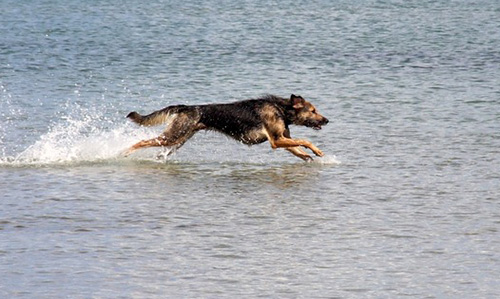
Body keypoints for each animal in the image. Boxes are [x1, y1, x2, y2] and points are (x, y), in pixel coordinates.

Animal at [124, 95, 328, 162]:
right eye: (313, 111)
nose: (327, 120)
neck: (282, 110)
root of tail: (186, 107)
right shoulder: (276, 141)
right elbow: (305, 141)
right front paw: (318, 151)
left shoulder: (282, 139)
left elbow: (299, 149)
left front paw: (310, 156)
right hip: (173, 137)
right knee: (140, 142)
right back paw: (123, 152)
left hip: (177, 140)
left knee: (159, 152)